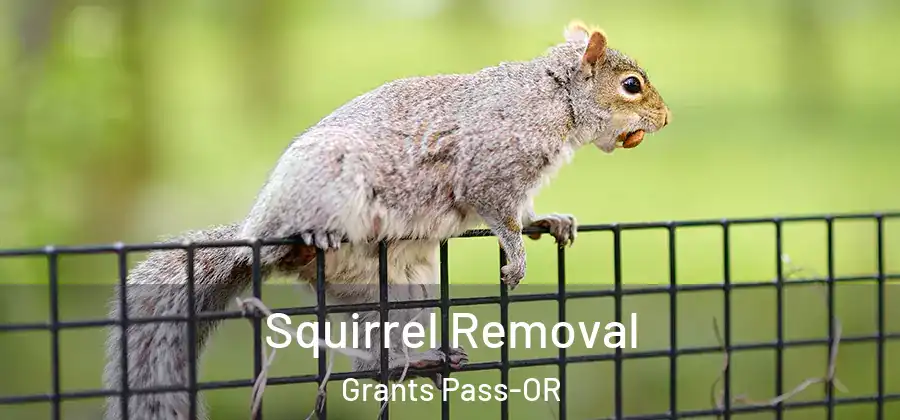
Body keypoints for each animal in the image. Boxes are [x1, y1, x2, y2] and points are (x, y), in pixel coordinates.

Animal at [102, 20, 670, 420]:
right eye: (631, 85)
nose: (665, 120)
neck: (554, 98)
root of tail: (252, 236)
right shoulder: (489, 168)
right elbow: (498, 214)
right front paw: (516, 257)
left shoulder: (519, 183)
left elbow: (524, 212)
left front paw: (549, 222)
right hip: (325, 187)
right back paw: (309, 239)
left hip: (398, 291)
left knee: (370, 364)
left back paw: (415, 361)